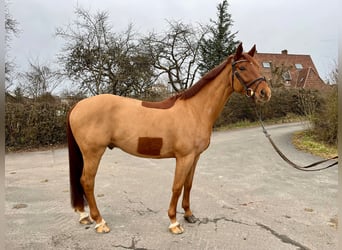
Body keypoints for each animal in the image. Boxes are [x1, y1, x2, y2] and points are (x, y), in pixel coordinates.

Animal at [66, 43, 270, 234]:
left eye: (258, 66)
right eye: (242, 68)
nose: (265, 93)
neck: (194, 110)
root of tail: (77, 105)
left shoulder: (195, 157)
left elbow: (188, 184)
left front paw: (189, 215)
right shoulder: (184, 157)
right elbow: (177, 187)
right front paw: (174, 222)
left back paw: (84, 216)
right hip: (93, 153)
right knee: (87, 181)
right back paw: (100, 222)